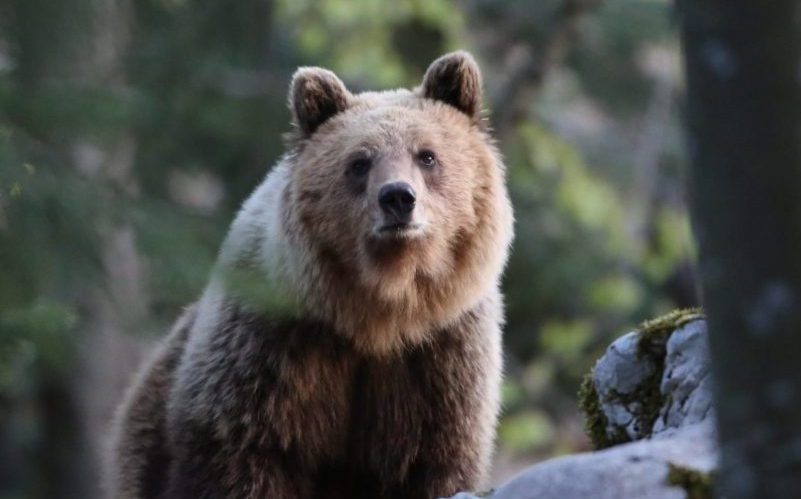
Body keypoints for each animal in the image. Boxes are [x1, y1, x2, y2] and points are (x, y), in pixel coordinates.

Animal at [108, 51, 512, 499]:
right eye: (359, 162)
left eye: (427, 155)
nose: (397, 198)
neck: (378, 312)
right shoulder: (270, 350)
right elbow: (245, 452)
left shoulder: (440, 356)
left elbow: (432, 460)